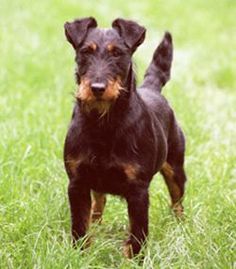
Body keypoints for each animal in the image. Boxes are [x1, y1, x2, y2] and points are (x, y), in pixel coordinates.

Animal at [63, 17, 187, 258]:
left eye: (118, 53)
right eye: (85, 51)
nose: (97, 88)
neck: (103, 123)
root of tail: (153, 90)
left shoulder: (138, 190)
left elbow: (138, 234)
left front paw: (134, 259)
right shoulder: (77, 182)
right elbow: (80, 227)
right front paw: (80, 257)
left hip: (175, 168)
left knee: (178, 201)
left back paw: (181, 228)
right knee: (98, 204)